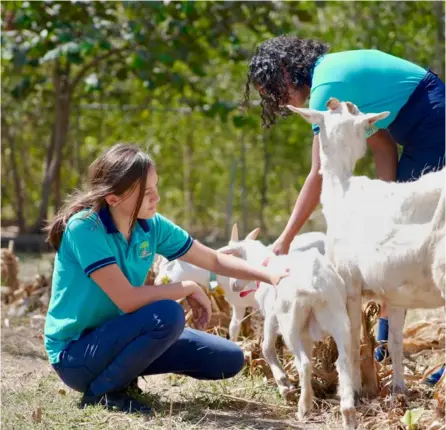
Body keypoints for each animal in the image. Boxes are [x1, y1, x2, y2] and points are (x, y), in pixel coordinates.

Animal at [225, 232, 358, 426]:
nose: (233, 286)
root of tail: (314, 282)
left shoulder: (271, 317)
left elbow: (266, 348)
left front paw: (284, 385)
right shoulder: (306, 333)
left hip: (290, 323)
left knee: (304, 363)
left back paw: (304, 407)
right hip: (338, 317)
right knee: (343, 361)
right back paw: (348, 414)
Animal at [288, 98, 444, 396]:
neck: (341, 189)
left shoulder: (349, 283)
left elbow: (350, 337)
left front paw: (355, 388)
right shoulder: (396, 291)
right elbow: (395, 339)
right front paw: (398, 389)